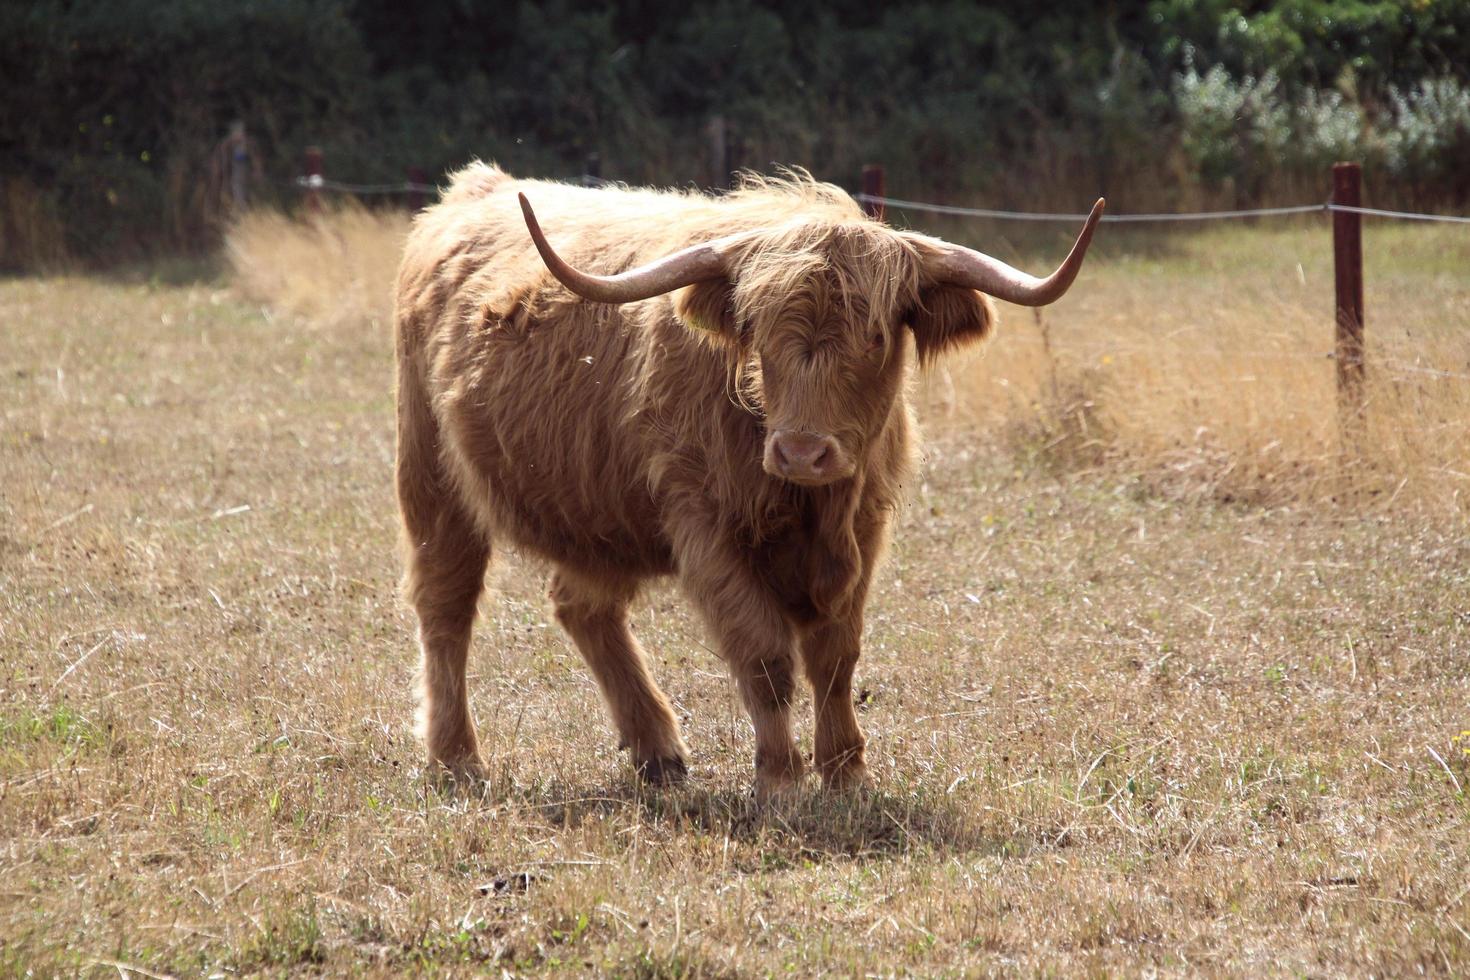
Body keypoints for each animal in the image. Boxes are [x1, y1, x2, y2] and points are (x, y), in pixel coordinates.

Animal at [393, 166, 1105, 799]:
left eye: (876, 336)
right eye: (759, 332)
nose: (802, 451)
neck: (814, 507)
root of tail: (475, 189)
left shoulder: (866, 526)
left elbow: (836, 656)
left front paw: (847, 774)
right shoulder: (703, 526)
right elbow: (763, 656)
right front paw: (781, 779)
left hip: (595, 511)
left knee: (581, 605)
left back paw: (658, 753)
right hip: (431, 478)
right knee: (445, 609)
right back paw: (458, 758)